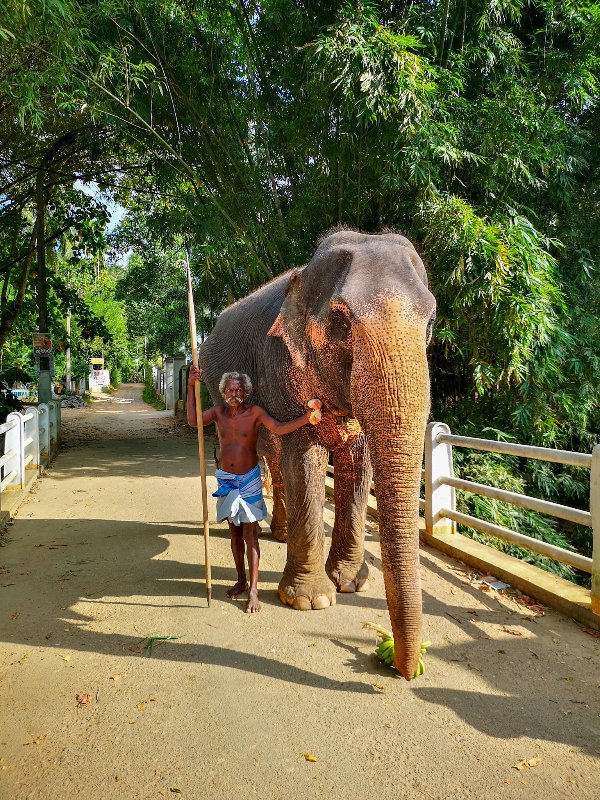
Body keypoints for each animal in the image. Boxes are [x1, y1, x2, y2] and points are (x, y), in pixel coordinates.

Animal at [199, 228, 438, 680]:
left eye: (431, 322)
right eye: (341, 322)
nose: (404, 670)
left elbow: (358, 461)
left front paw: (352, 584)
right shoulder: (280, 364)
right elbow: (304, 459)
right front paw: (311, 600)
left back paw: (279, 533)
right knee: (269, 454)